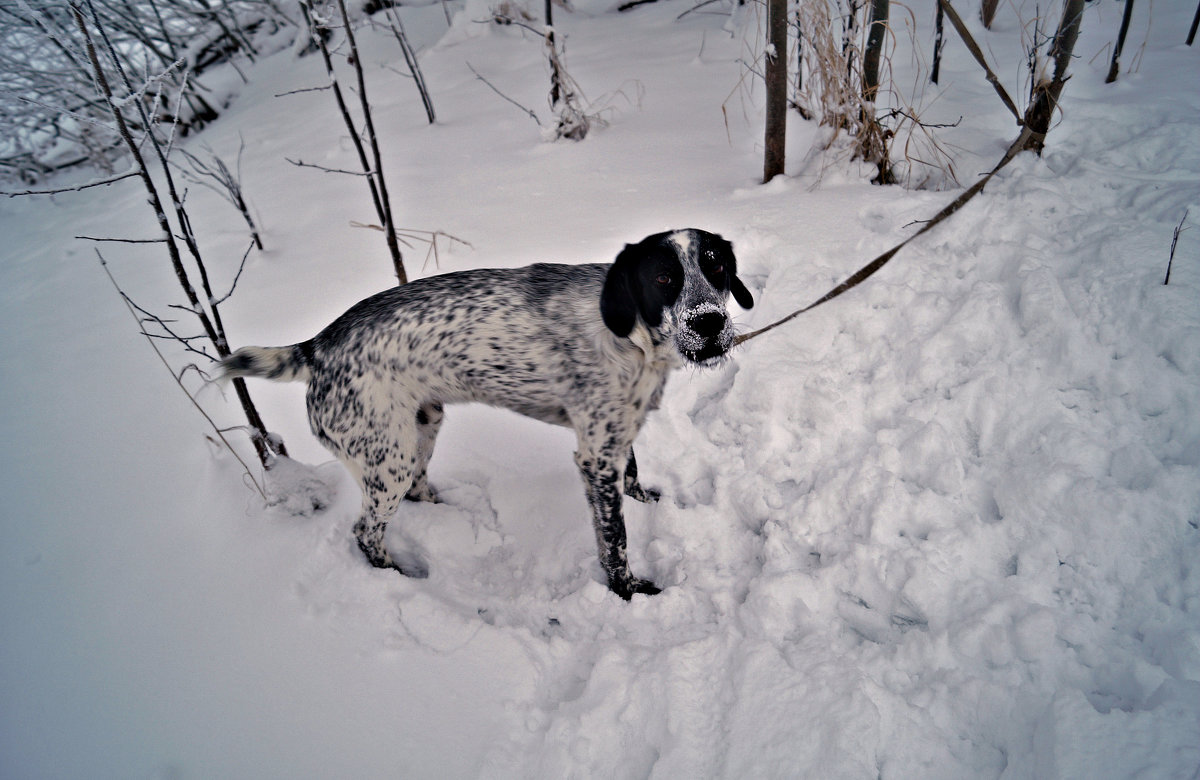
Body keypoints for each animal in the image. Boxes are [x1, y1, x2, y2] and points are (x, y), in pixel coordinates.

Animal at [220, 228, 753, 597]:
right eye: (664, 278)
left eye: (717, 268)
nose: (709, 323)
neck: (633, 338)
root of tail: (317, 347)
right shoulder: (595, 458)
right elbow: (615, 542)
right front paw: (629, 593)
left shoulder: (616, 434)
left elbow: (634, 478)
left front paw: (648, 505)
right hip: (387, 459)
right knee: (366, 533)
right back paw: (399, 576)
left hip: (420, 429)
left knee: (418, 493)